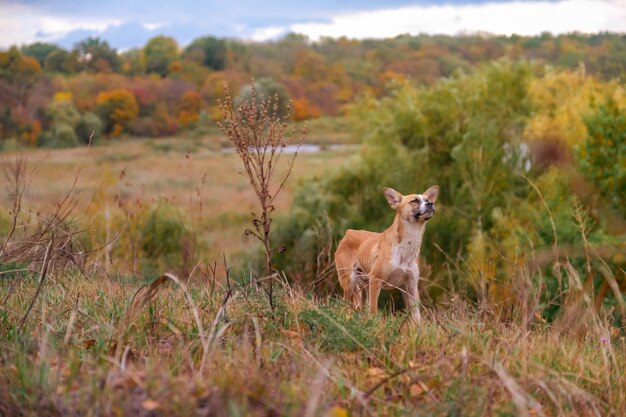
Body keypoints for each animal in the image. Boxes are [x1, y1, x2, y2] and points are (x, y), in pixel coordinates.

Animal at [334, 185, 436, 322]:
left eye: (427, 199)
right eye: (414, 201)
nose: (430, 204)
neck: (406, 247)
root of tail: (348, 233)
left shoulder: (411, 286)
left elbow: (416, 316)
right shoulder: (376, 279)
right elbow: (373, 311)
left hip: (365, 286)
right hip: (350, 283)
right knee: (345, 307)